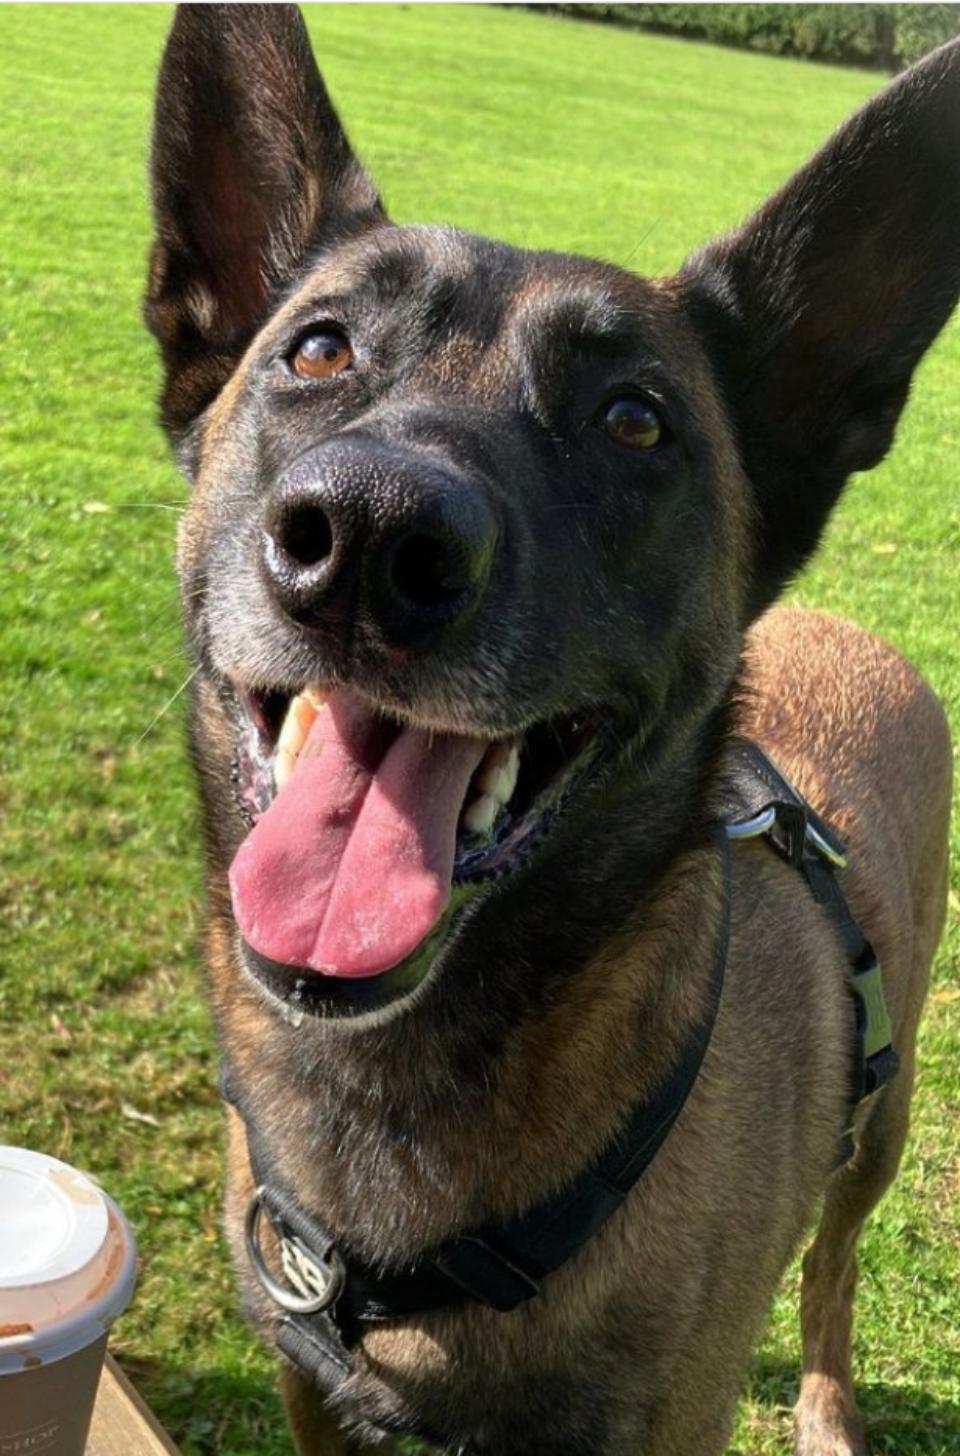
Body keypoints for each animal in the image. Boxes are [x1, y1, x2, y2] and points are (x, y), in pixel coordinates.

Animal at [146, 11, 955, 1456]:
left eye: (635, 419)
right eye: (318, 351)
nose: (368, 538)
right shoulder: (305, 1389)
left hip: (888, 1115)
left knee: (834, 1265)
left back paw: (823, 1405)